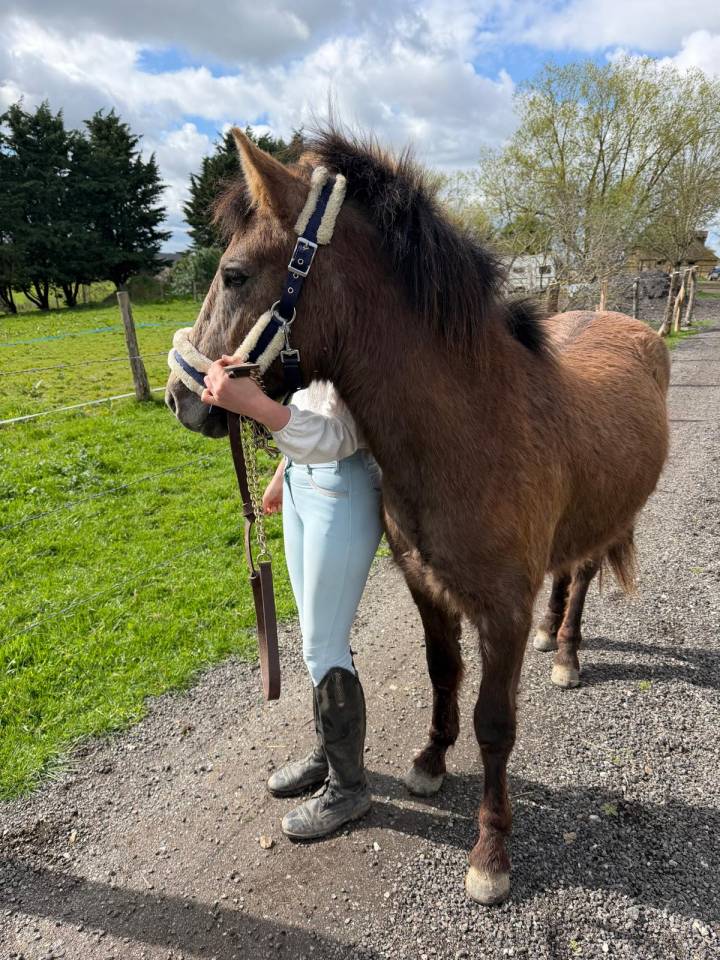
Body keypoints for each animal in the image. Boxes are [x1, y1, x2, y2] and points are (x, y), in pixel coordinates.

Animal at [165, 126, 670, 905]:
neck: (474, 426)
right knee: (564, 580)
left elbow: (495, 725)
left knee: (582, 577)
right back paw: (554, 639)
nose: (180, 397)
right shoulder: (424, 584)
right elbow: (441, 674)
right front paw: (431, 762)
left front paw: (491, 854)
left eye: (235, 274)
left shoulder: (502, 611)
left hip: (608, 524)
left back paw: (567, 654)